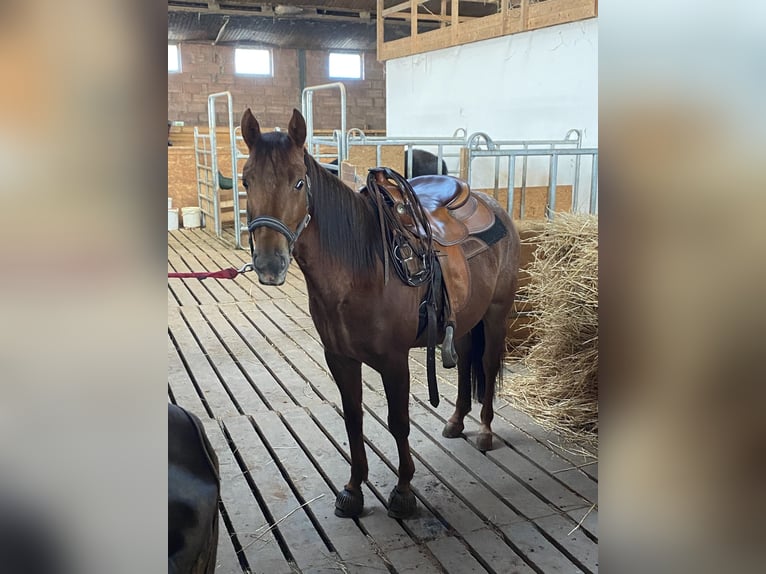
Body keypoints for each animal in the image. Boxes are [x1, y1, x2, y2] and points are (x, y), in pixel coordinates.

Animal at [240, 108, 520, 520]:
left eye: (298, 183)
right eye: (246, 180)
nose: (269, 264)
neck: (360, 270)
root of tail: (493, 204)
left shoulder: (393, 361)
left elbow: (398, 423)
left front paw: (403, 492)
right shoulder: (340, 358)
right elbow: (353, 420)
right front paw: (354, 489)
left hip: (497, 314)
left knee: (486, 363)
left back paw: (484, 431)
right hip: (468, 318)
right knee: (467, 358)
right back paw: (456, 421)